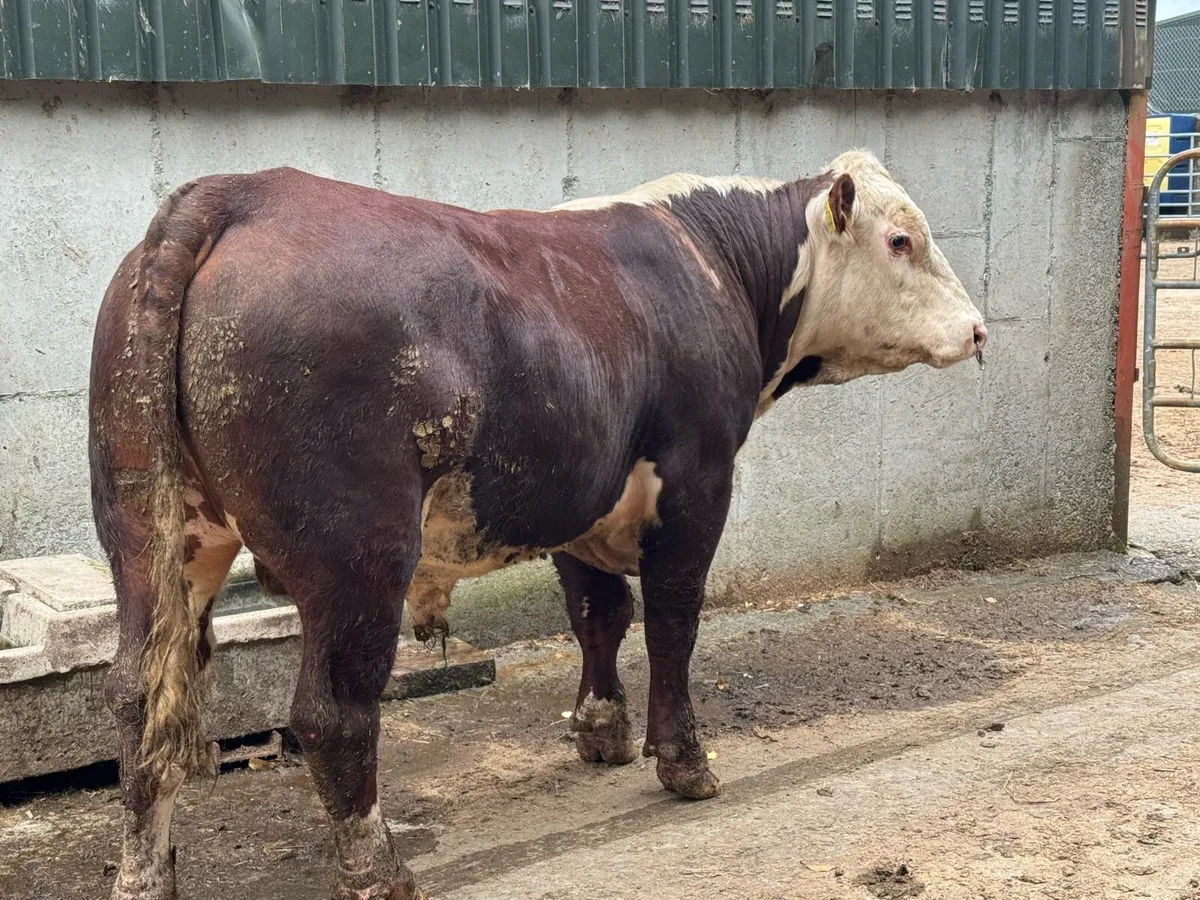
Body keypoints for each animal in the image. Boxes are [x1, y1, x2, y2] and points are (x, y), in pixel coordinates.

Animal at [89, 150, 985, 900]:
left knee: (140, 695)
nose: (979, 330)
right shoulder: (697, 480)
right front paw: (684, 762)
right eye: (902, 240)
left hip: (151, 536)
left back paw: (146, 877)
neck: (714, 263)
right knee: (331, 713)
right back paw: (378, 871)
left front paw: (600, 731)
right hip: (357, 554)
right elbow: (673, 620)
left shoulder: (582, 496)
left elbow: (598, 615)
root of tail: (241, 190)